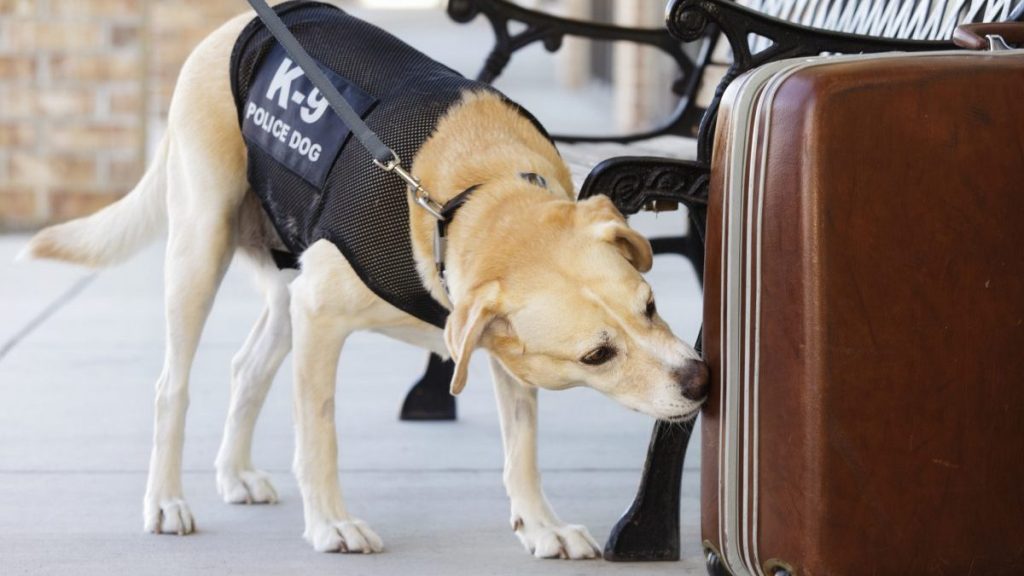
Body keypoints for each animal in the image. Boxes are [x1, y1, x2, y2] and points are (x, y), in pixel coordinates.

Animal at [25, 6, 712, 557]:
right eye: (597, 355)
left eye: (651, 305)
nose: (702, 382)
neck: (467, 199)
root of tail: (227, 29)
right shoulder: (320, 317)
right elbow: (319, 435)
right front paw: (331, 524)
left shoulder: (500, 353)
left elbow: (523, 450)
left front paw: (541, 526)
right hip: (202, 249)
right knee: (173, 387)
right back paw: (166, 501)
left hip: (284, 291)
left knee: (247, 368)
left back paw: (235, 474)